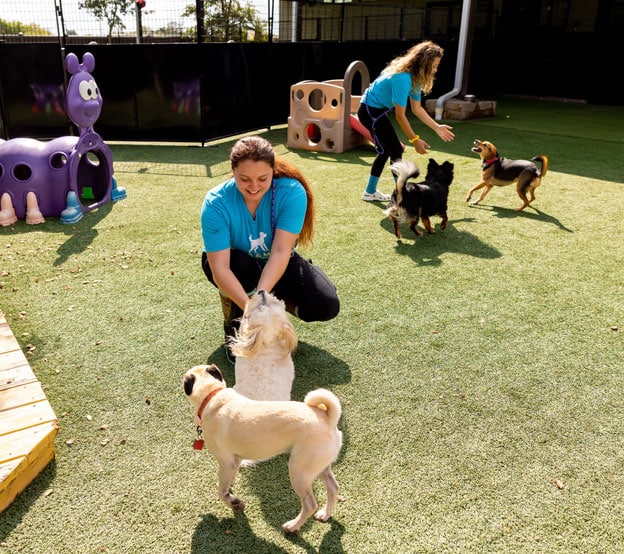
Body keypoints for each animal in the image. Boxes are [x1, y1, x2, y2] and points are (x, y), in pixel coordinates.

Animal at [183, 362, 344, 532]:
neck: (212, 394)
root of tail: (329, 419)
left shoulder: (226, 462)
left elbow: (221, 492)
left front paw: (234, 502)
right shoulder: (235, 461)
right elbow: (228, 480)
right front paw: (231, 488)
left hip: (299, 472)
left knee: (310, 504)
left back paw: (292, 526)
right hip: (320, 467)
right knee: (333, 488)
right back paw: (325, 515)